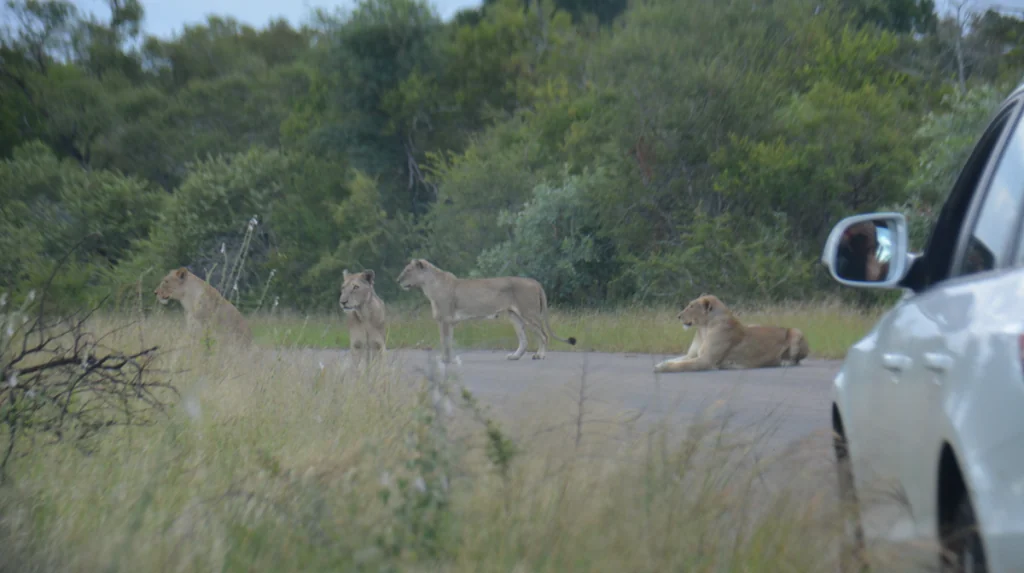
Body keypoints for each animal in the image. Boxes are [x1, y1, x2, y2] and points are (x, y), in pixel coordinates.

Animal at [395, 258, 577, 362]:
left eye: (408, 270)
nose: (397, 280)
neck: (429, 286)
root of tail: (535, 281)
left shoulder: (445, 319)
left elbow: (444, 341)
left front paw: (444, 359)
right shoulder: (447, 321)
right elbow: (447, 340)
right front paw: (448, 358)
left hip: (529, 314)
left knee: (544, 335)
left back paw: (540, 355)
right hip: (514, 315)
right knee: (524, 340)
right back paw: (515, 356)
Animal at [651, 292, 811, 374]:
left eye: (691, 306)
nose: (678, 316)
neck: (703, 329)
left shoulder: (706, 360)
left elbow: (681, 365)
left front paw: (661, 368)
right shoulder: (692, 355)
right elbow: (676, 359)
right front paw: (662, 362)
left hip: (796, 332)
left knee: (796, 360)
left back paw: (783, 362)